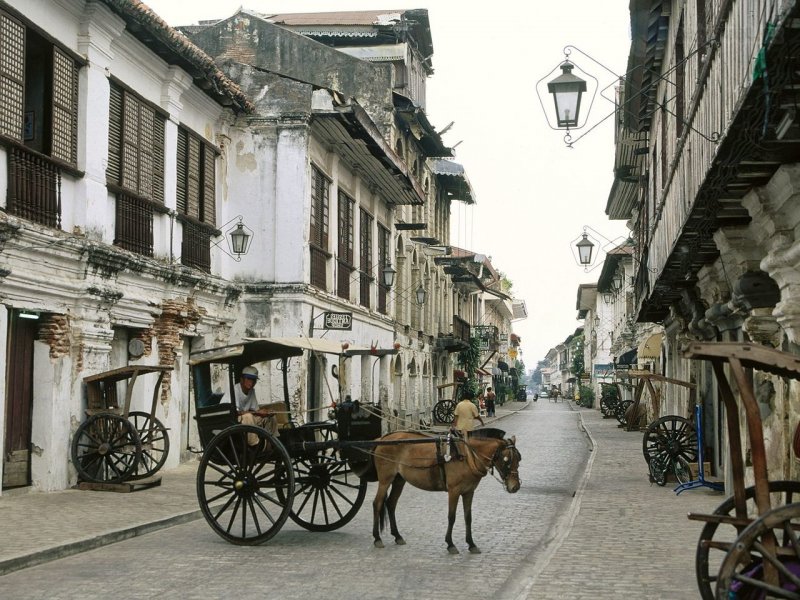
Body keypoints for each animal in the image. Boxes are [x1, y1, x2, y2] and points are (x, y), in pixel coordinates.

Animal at [368, 428, 520, 556]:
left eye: (519, 459)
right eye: (506, 459)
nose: (515, 487)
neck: (466, 456)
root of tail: (382, 438)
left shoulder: (469, 492)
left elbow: (468, 518)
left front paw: (471, 544)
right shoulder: (454, 491)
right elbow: (451, 517)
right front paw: (450, 544)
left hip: (399, 479)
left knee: (391, 503)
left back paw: (397, 536)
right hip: (385, 480)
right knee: (377, 503)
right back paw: (377, 538)